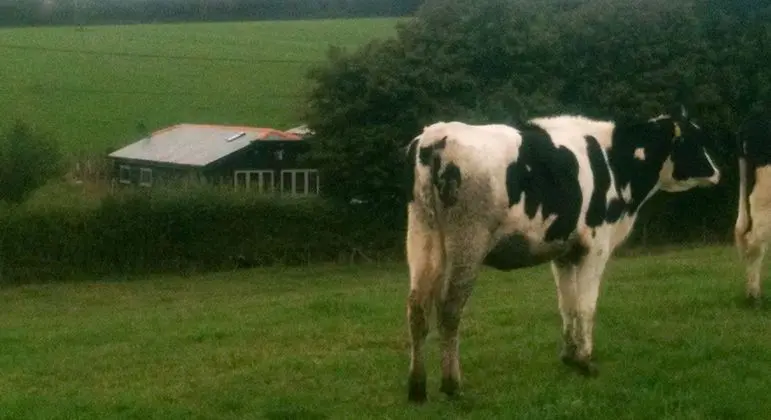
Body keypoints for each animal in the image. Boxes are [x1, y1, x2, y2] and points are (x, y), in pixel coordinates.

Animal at [404, 105, 721, 403]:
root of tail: (435, 137)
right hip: (468, 241)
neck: (614, 162)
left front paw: (569, 357)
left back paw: (417, 388)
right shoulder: (597, 246)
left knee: (417, 308)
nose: (717, 172)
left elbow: (567, 304)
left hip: (422, 235)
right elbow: (586, 305)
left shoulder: (564, 252)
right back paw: (452, 386)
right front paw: (585, 360)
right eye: (694, 139)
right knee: (449, 309)